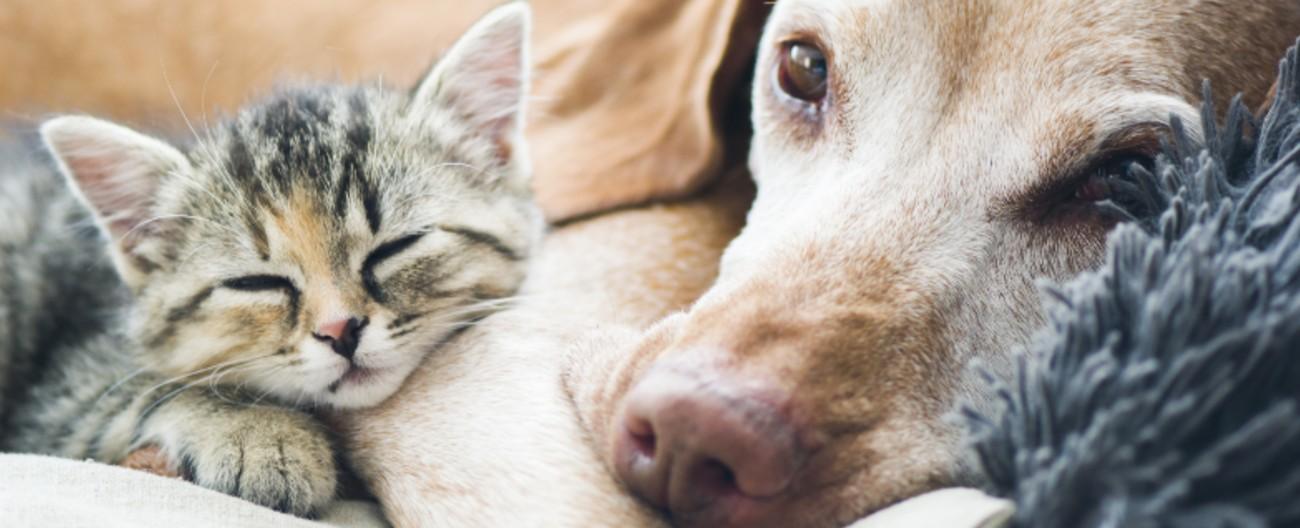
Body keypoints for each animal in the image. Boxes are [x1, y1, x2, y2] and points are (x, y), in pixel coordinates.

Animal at [1, 4, 538, 514]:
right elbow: (150, 389)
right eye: (256, 283)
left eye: (395, 247)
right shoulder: (54, 400)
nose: (340, 330)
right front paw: (261, 434)